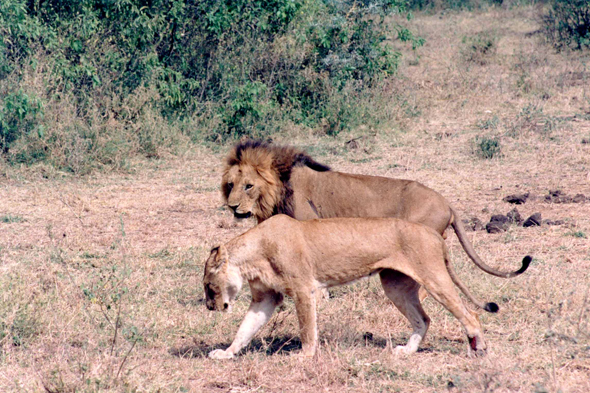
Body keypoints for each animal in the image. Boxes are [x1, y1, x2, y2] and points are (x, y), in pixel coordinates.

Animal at [206, 214, 536, 358]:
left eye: (209, 286)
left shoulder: (303, 289)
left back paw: (477, 347)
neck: (253, 254)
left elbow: (307, 329)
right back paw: (407, 350)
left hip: (434, 278)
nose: (210, 306)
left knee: (470, 314)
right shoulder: (266, 298)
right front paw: (226, 353)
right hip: (395, 285)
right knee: (424, 319)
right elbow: (245, 329)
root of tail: (433, 233)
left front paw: (304, 357)